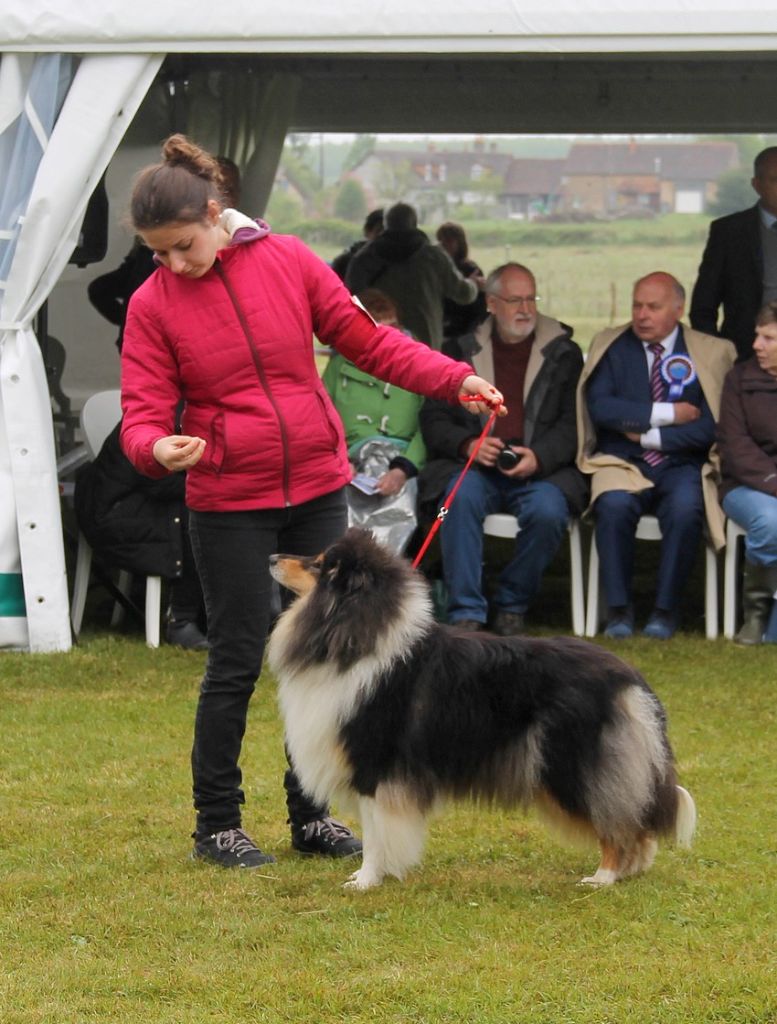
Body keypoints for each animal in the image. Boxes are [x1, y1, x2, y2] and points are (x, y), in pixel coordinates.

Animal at [268, 528, 696, 890]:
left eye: (320, 565)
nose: (272, 556)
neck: (357, 636)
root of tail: (629, 676)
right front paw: (369, 877)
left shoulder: (374, 766)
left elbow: (376, 833)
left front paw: (365, 881)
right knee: (636, 825)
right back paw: (627, 871)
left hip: (572, 766)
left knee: (616, 821)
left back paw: (603, 877)